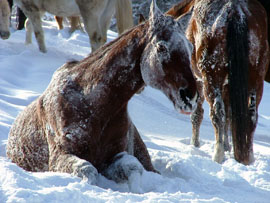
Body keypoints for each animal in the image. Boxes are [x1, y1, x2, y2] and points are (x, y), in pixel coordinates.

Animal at [6, 0, 198, 192]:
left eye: (190, 47)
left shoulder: (114, 156)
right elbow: (88, 171)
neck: (95, 106)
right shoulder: (60, 157)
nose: (190, 97)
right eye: (161, 47)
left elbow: (134, 169)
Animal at [168, 0, 268, 165]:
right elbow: (230, 117)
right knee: (251, 116)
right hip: (256, 79)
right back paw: (248, 157)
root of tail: (235, 11)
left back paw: (218, 155)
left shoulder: (199, 80)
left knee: (217, 113)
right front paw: (229, 146)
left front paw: (195, 144)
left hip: (211, 77)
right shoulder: (228, 86)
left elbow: (198, 114)